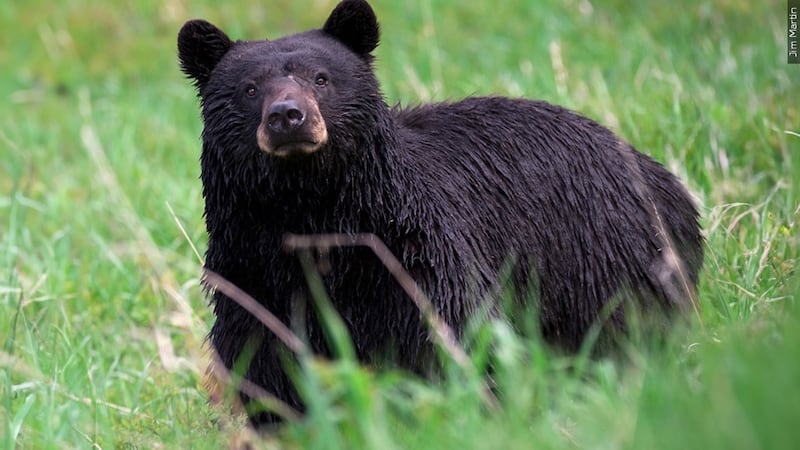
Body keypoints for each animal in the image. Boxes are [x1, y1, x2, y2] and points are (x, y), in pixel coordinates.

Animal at [178, 0, 703, 426]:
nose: (288, 116)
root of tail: (664, 179)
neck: (314, 216)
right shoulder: (252, 274)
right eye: (249, 88)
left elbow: (445, 337)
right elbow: (267, 363)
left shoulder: (412, 258)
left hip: (604, 256)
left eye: (321, 78)